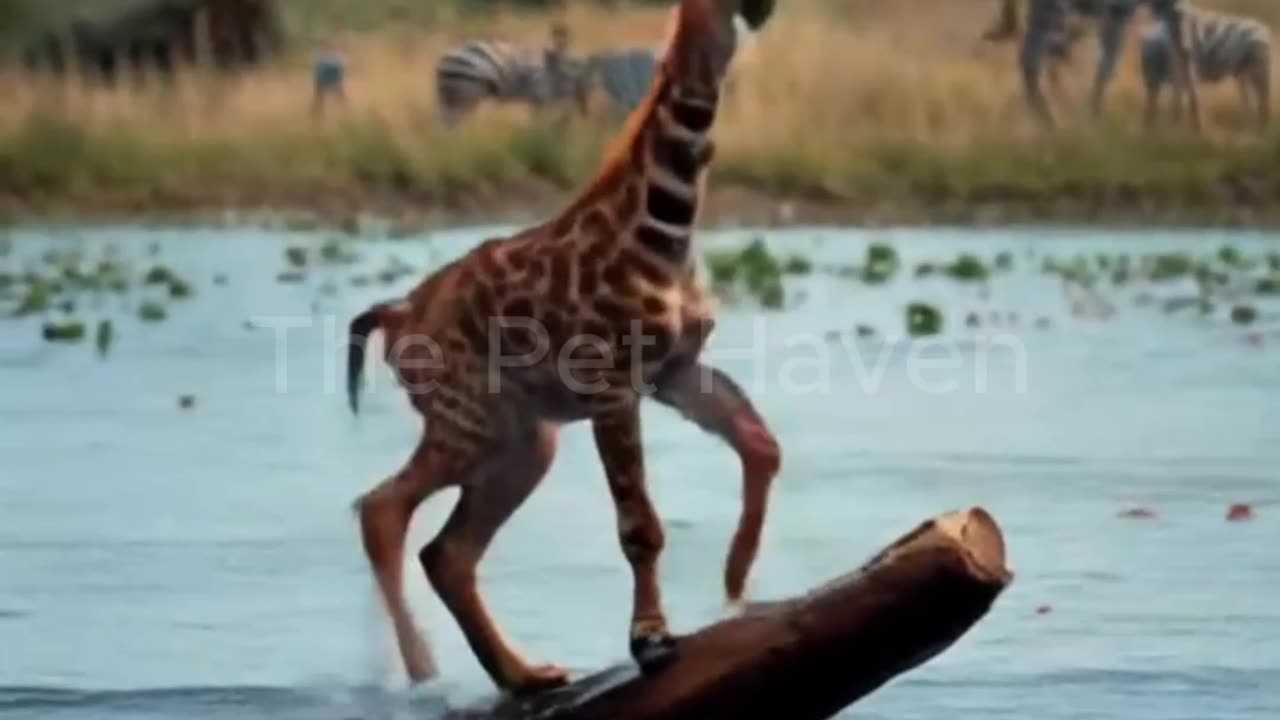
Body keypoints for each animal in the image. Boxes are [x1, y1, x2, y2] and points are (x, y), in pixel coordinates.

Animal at [343, 0, 778, 691]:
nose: (762, 18)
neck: (665, 230)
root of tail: (399, 313)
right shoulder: (612, 383)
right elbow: (639, 526)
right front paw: (650, 640)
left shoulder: (674, 370)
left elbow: (760, 444)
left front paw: (736, 583)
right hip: (471, 423)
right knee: (383, 509)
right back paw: (425, 673)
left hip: (524, 439)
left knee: (445, 550)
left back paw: (524, 674)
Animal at [977, 0, 1198, 130]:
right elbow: (1179, 52)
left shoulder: (1118, 13)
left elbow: (1105, 65)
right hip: (1051, 9)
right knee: (1031, 59)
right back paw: (1050, 125)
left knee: (1033, 58)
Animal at [1141, 5, 1269, 129]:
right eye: (1144, 63)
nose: (1146, 123)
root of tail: (1263, 29)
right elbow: (1176, 100)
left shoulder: (1183, 75)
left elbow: (1184, 101)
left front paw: (1184, 126)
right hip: (1242, 74)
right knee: (1251, 102)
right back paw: (1249, 124)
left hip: (1258, 72)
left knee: (1262, 100)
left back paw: (1261, 127)